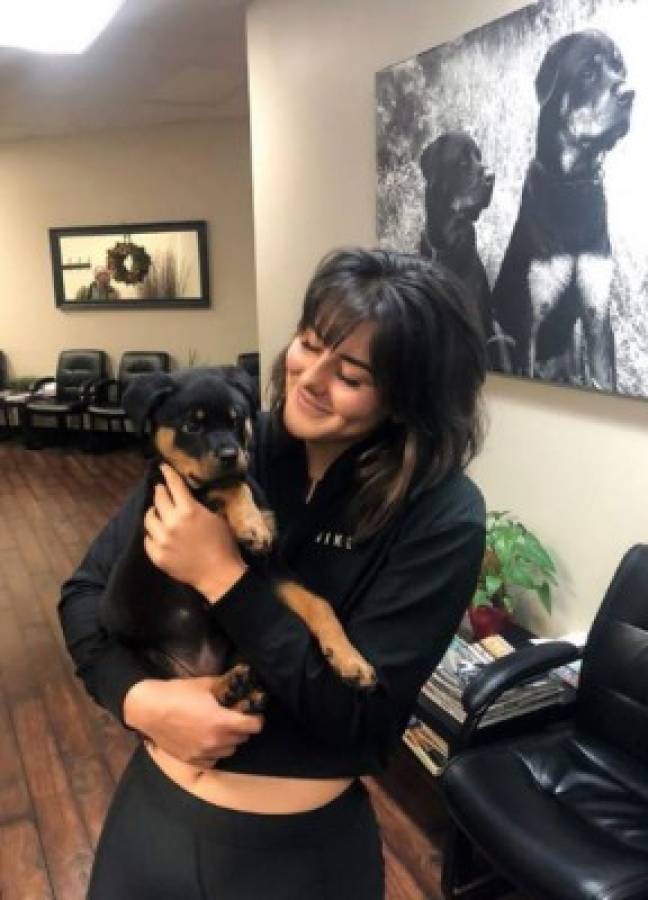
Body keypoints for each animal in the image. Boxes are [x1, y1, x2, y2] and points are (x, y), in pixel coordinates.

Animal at [494, 27, 636, 386]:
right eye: (587, 73)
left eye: (619, 69)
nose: (630, 93)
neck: (573, 184)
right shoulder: (529, 321)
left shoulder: (597, 314)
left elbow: (606, 378)